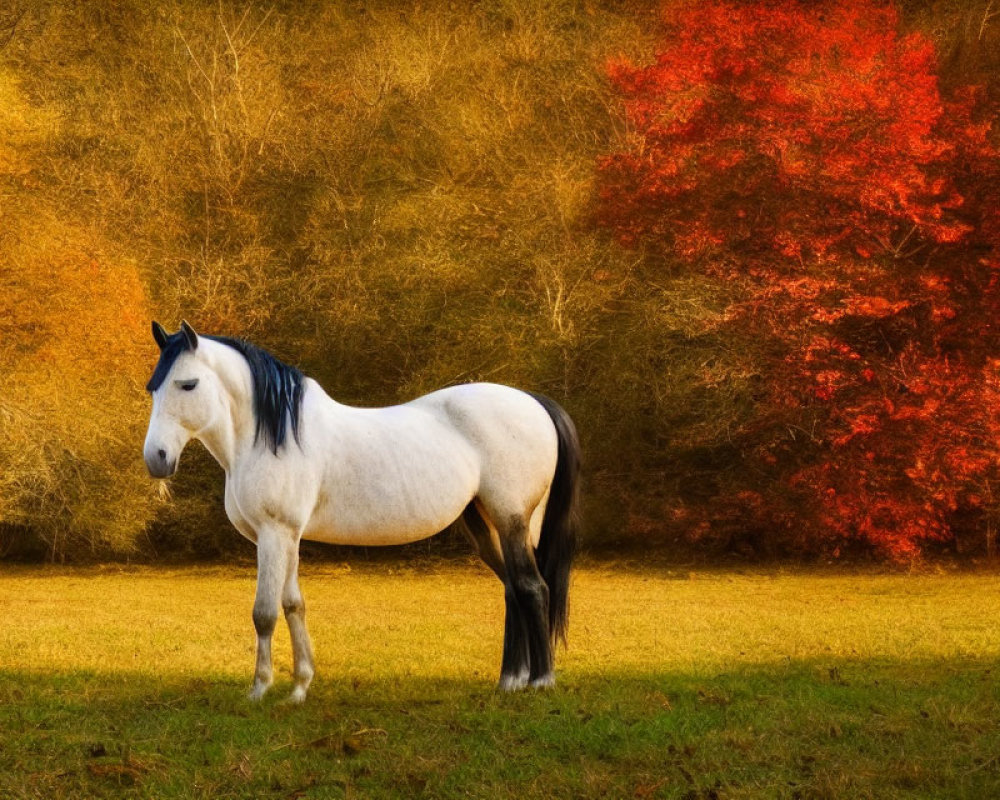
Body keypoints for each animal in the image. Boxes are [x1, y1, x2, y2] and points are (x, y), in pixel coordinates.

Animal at [141, 322, 580, 704]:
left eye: (188, 384)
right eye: (153, 387)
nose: (156, 458)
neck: (270, 437)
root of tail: (535, 403)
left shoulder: (274, 533)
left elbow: (264, 612)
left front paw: (259, 690)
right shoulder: (288, 536)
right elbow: (293, 604)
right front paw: (299, 688)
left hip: (512, 520)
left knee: (532, 587)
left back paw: (541, 681)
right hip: (483, 523)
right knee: (512, 590)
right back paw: (510, 680)